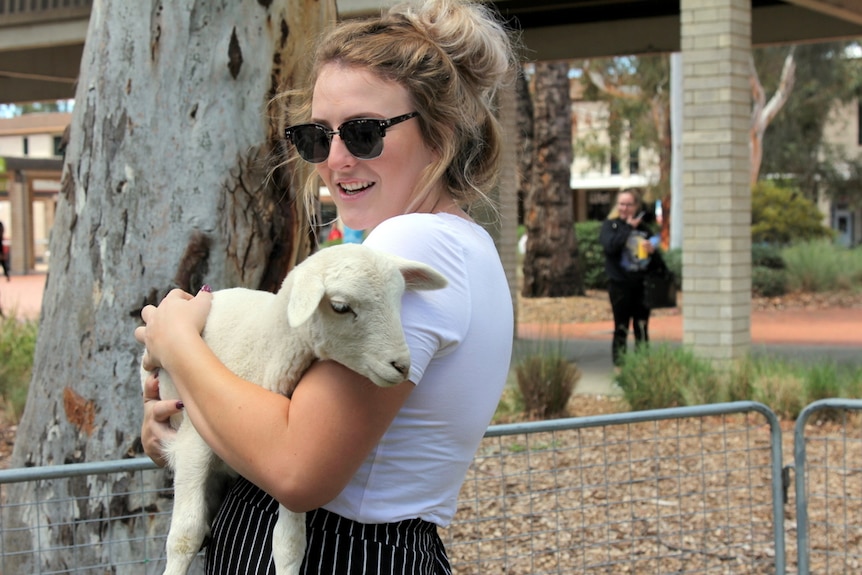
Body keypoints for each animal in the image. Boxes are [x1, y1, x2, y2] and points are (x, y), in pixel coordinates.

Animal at [140, 243, 446, 575]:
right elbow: (185, 535)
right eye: (340, 307)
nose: (402, 366)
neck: (268, 352)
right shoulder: (193, 439)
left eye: (398, 299)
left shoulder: (286, 468)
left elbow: (289, 544)